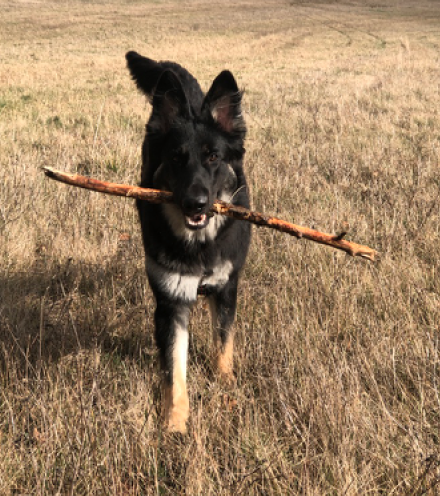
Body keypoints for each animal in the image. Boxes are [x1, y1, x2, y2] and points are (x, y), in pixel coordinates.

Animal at [126, 51, 251, 433]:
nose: (195, 204)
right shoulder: (172, 300)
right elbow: (174, 369)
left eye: (213, 157)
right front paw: (175, 425)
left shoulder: (226, 288)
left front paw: (225, 386)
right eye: (176, 158)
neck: (199, 243)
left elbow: (223, 343)